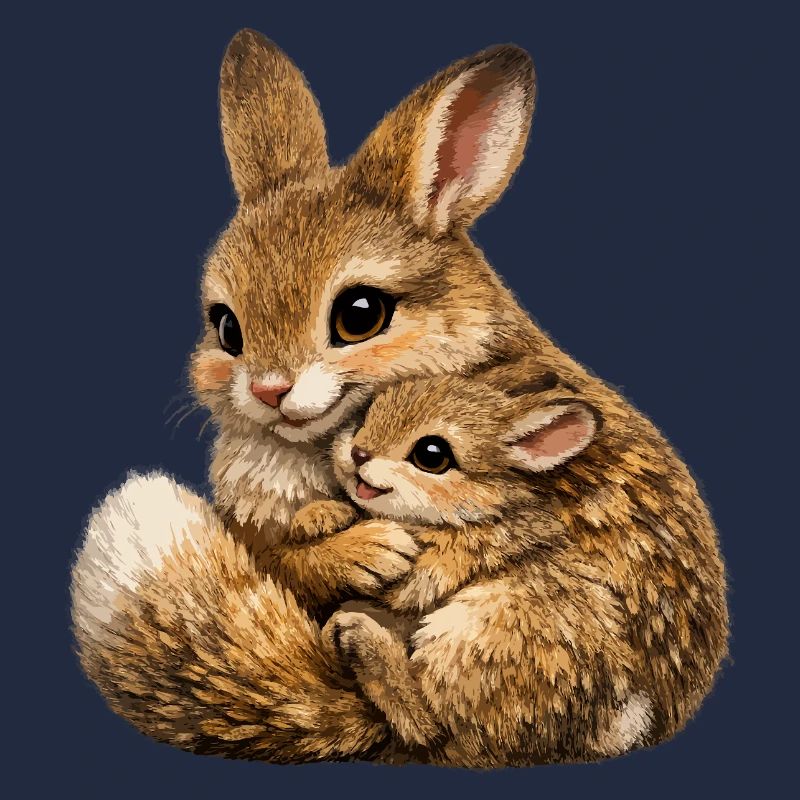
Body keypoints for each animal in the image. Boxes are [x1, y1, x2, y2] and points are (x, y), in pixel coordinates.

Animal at [70, 29, 727, 764]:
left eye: (360, 315)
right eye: (226, 327)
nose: (270, 389)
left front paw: (373, 551)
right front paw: (345, 539)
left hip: (504, 622)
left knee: (432, 726)